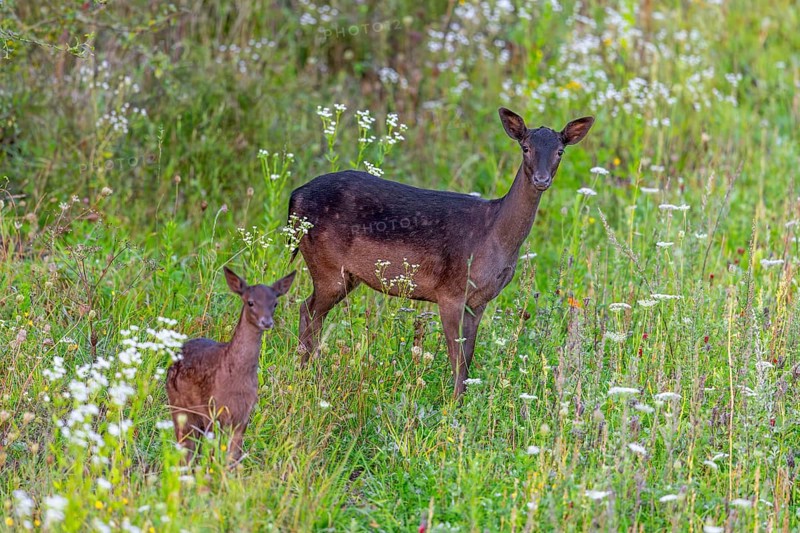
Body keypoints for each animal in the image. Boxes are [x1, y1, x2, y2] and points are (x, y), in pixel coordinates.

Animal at [166, 267, 295, 463]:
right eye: (250, 302)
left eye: (275, 304)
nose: (267, 322)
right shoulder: (212, 411)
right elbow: (213, 456)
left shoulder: (243, 416)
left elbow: (233, 458)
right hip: (179, 405)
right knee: (185, 448)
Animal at [287, 107, 593, 397]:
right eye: (526, 147)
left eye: (560, 151)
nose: (542, 179)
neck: (494, 234)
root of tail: (294, 197)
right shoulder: (450, 292)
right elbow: (457, 358)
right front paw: (452, 405)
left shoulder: (479, 301)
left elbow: (468, 357)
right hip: (327, 265)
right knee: (308, 311)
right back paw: (308, 378)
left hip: (345, 275)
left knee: (309, 311)